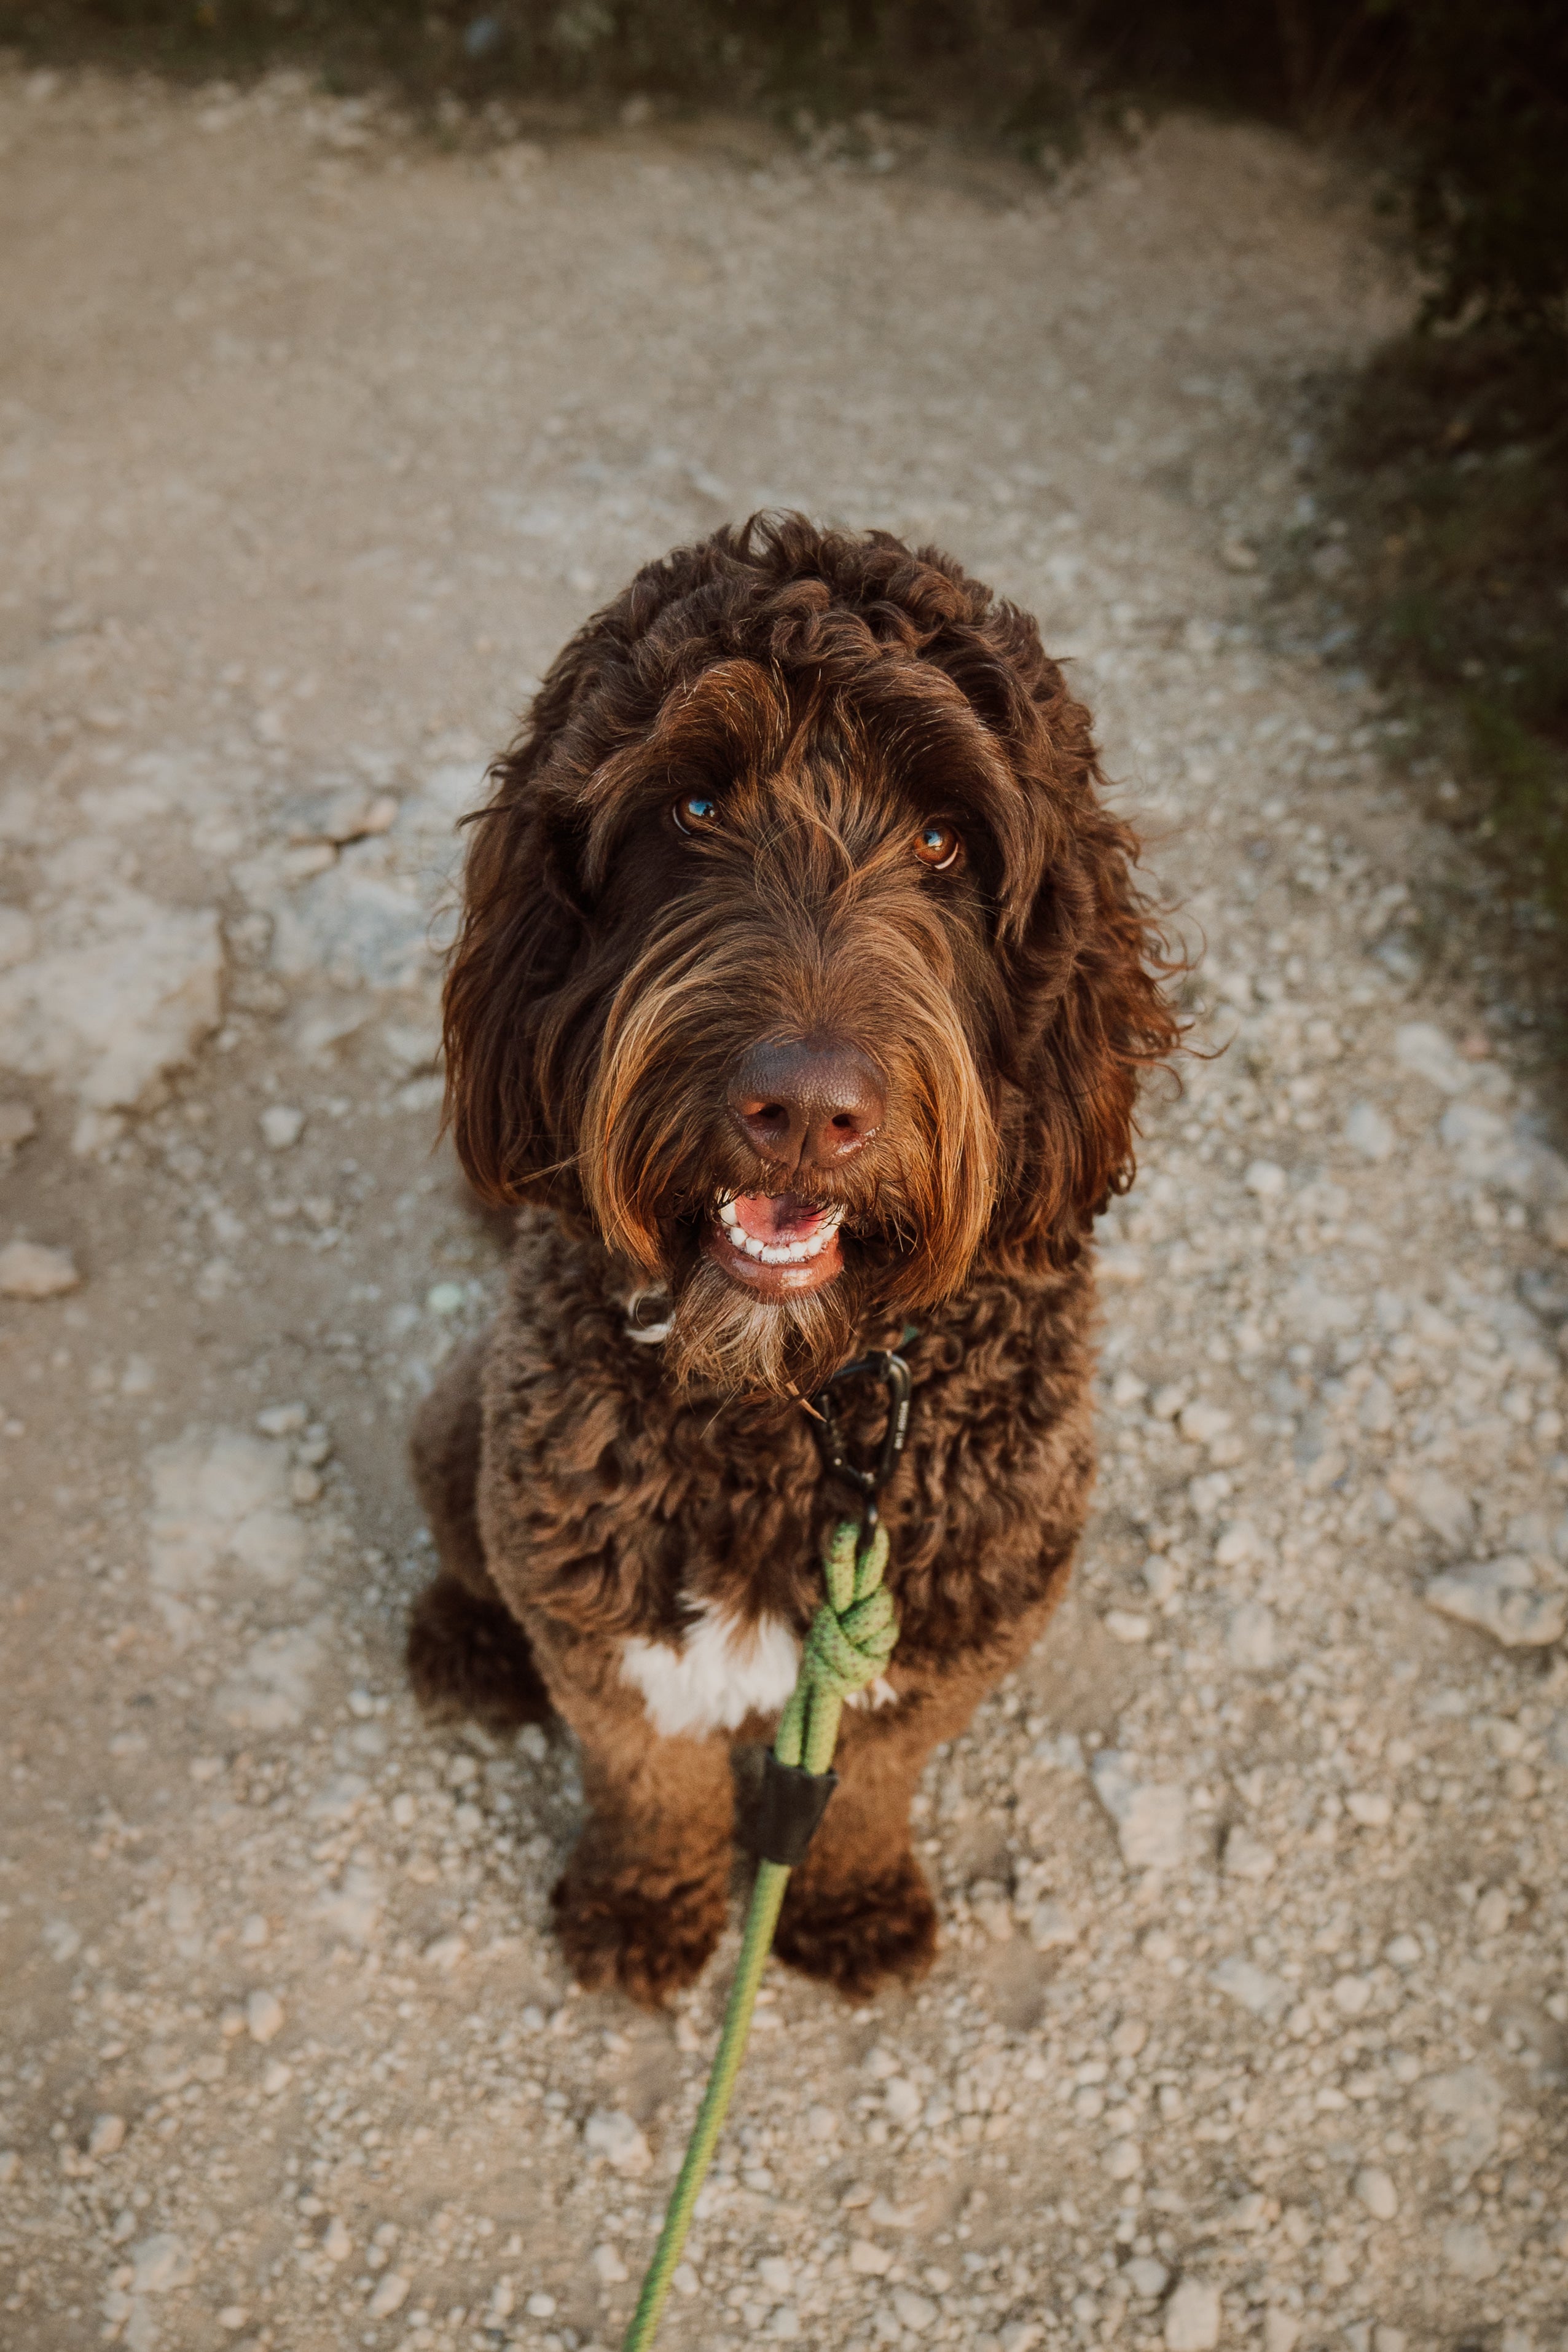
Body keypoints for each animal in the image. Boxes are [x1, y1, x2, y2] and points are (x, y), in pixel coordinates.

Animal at [404, 524, 1175, 2013]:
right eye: (695, 807)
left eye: (944, 838)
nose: (807, 1109)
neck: (801, 1402)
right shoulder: (588, 1584)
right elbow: (650, 1771)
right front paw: (644, 1902)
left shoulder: (951, 1624)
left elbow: (868, 1777)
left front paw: (852, 1896)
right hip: (461, 1420)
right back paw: (464, 1639)